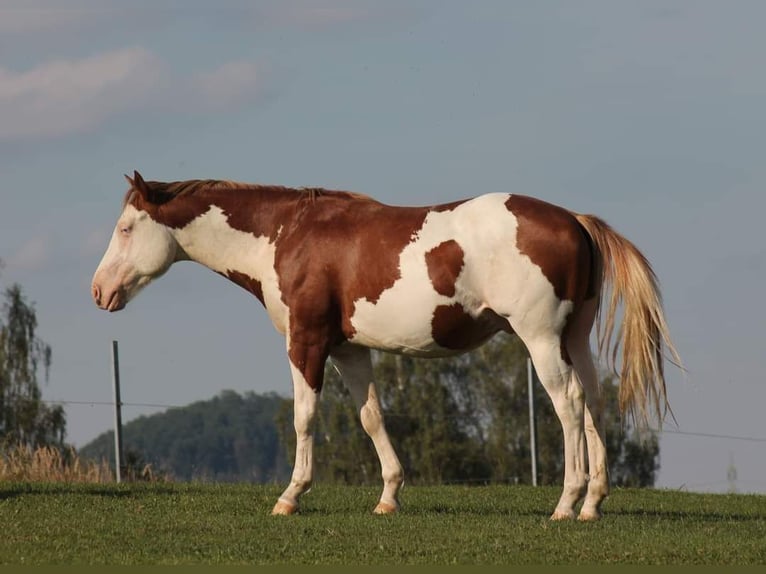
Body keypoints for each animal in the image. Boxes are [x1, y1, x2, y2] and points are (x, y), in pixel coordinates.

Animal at [92, 171, 680, 520]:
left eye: (125, 228)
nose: (99, 291)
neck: (289, 234)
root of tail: (574, 221)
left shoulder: (307, 343)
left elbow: (305, 418)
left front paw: (291, 495)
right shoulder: (349, 349)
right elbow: (371, 416)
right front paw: (389, 495)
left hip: (540, 339)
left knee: (569, 405)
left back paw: (566, 502)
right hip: (573, 337)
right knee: (596, 404)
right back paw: (594, 503)